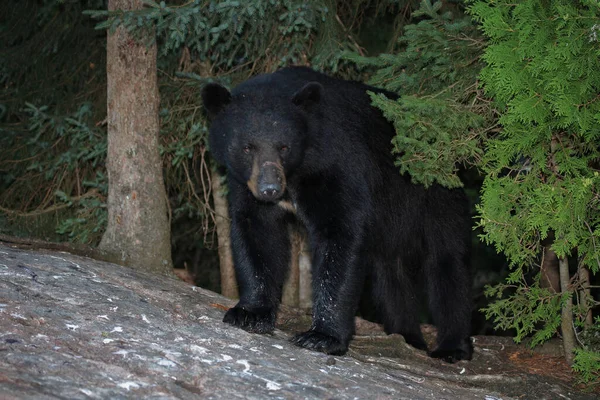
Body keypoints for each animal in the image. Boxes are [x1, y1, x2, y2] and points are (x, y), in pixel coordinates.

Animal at [202, 68, 474, 362]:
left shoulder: (336, 164)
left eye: (284, 147)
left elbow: (339, 234)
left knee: (446, 261)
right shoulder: (246, 185)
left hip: (435, 197)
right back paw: (406, 336)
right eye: (247, 147)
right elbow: (257, 232)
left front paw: (322, 336)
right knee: (390, 273)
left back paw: (452, 346)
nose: (270, 189)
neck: (299, 172)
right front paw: (249, 313)